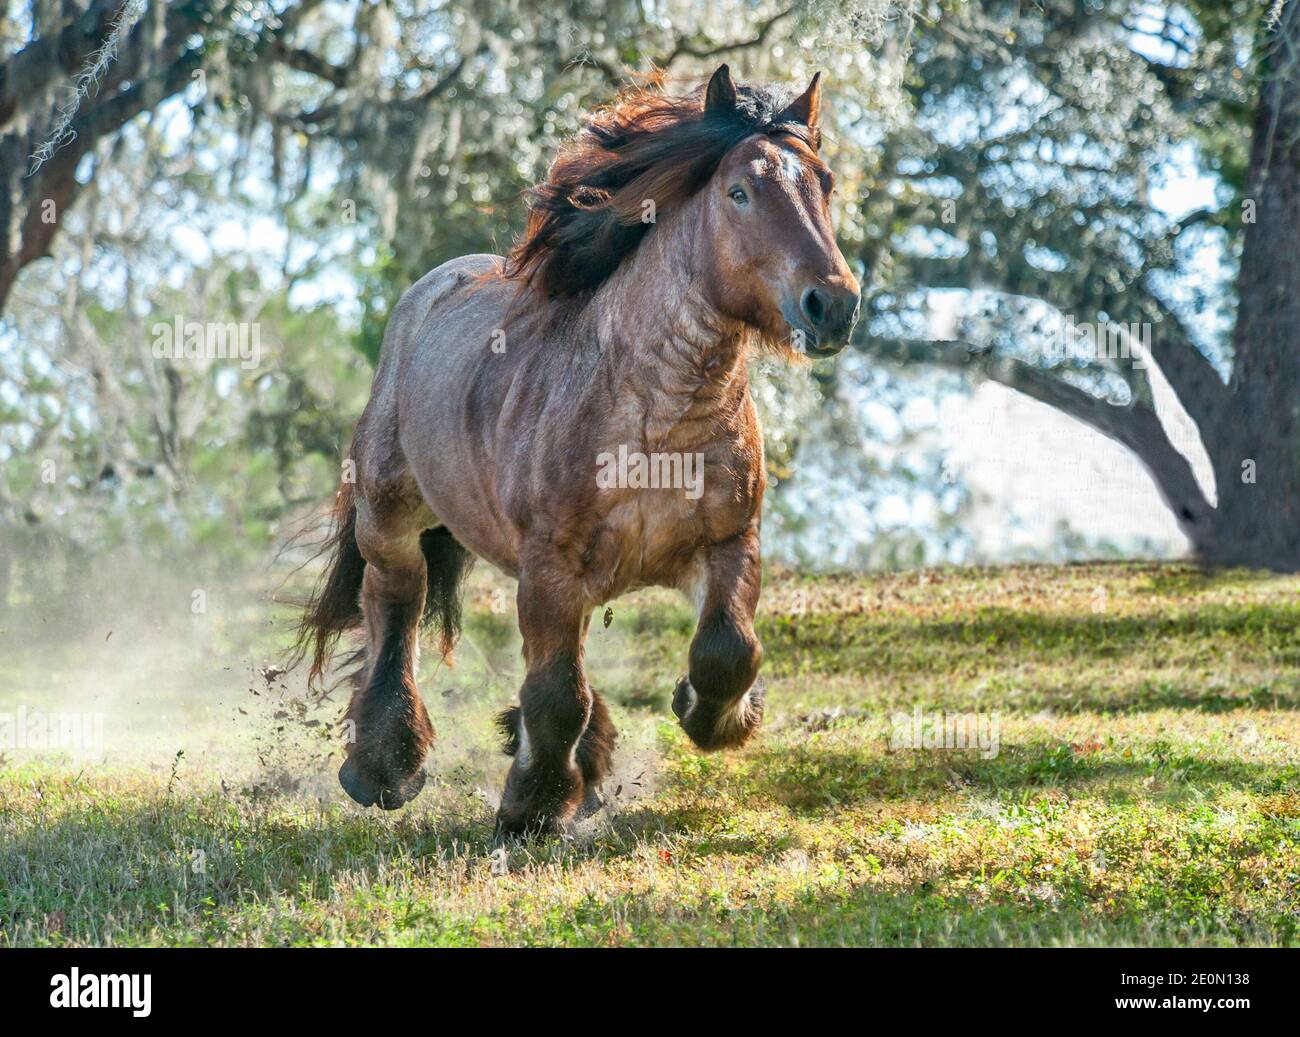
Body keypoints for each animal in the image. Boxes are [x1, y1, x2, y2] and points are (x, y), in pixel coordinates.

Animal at [296, 64, 863, 842]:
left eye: (825, 184)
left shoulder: (727, 543)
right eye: (739, 192)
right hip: (390, 518)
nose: (832, 305)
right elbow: (556, 694)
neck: (656, 419)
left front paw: (708, 713)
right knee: (395, 604)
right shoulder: (551, 566)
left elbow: (728, 650)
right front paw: (530, 806)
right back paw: (385, 765)